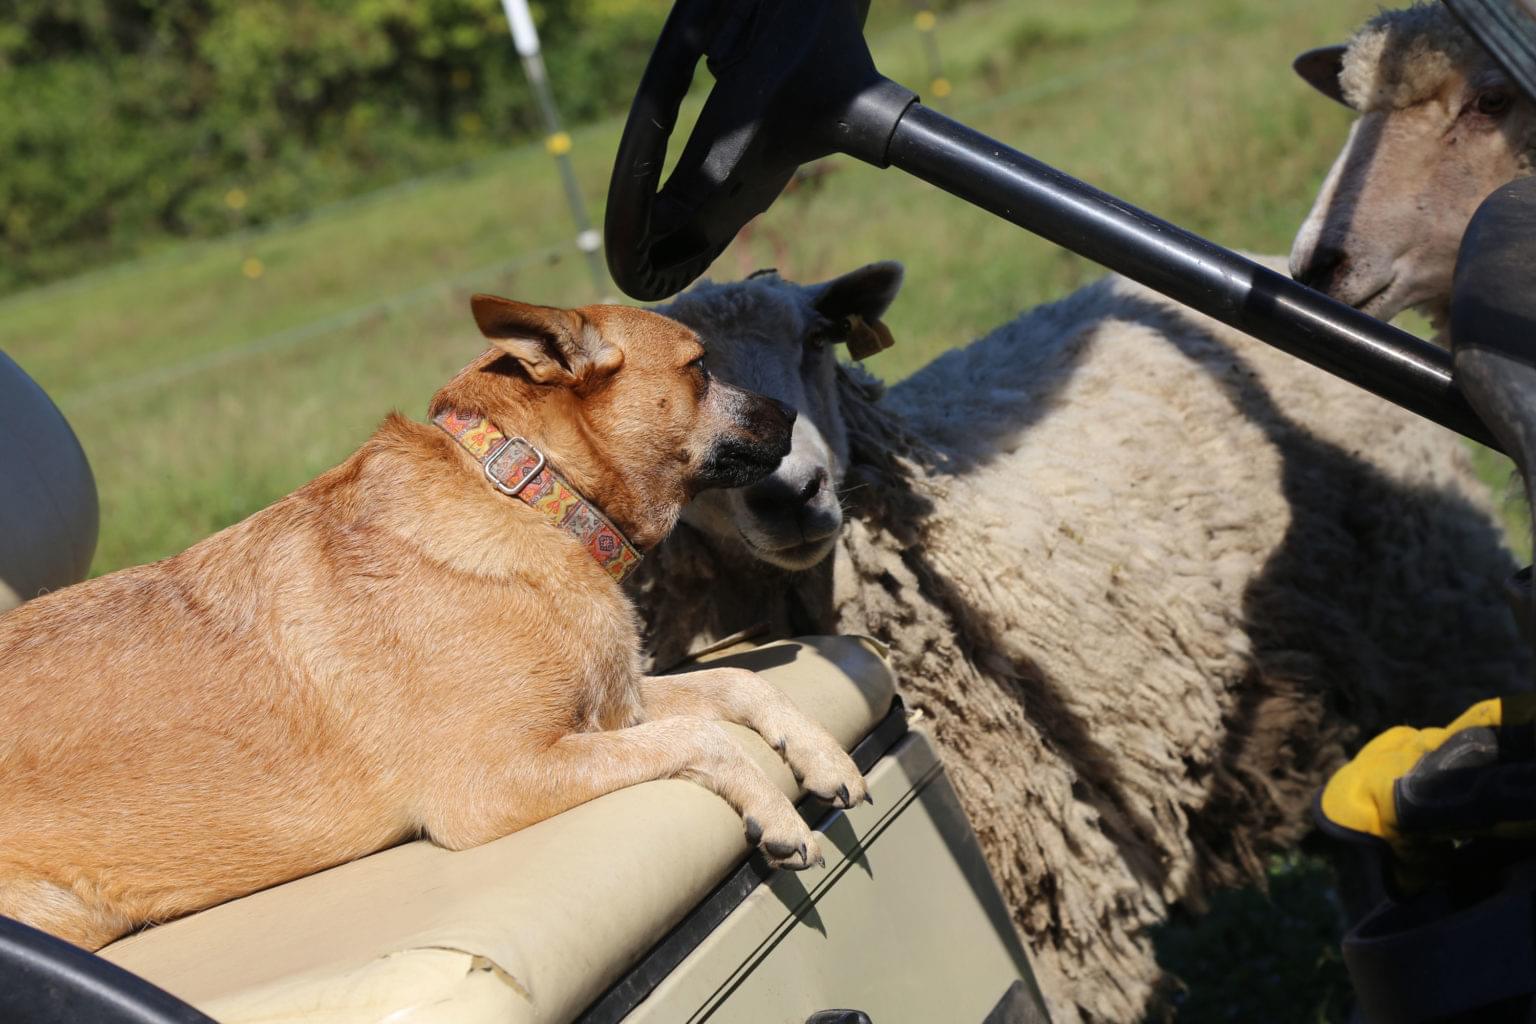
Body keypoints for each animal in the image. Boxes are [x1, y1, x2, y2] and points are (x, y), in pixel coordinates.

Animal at [0, 295, 868, 950]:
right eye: (699, 367)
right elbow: (704, 735)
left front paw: (820, 755)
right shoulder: (495, 780)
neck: (526, 495)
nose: (793, 417)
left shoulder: (610, 709)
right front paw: (773, 809)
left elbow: (739, 686)